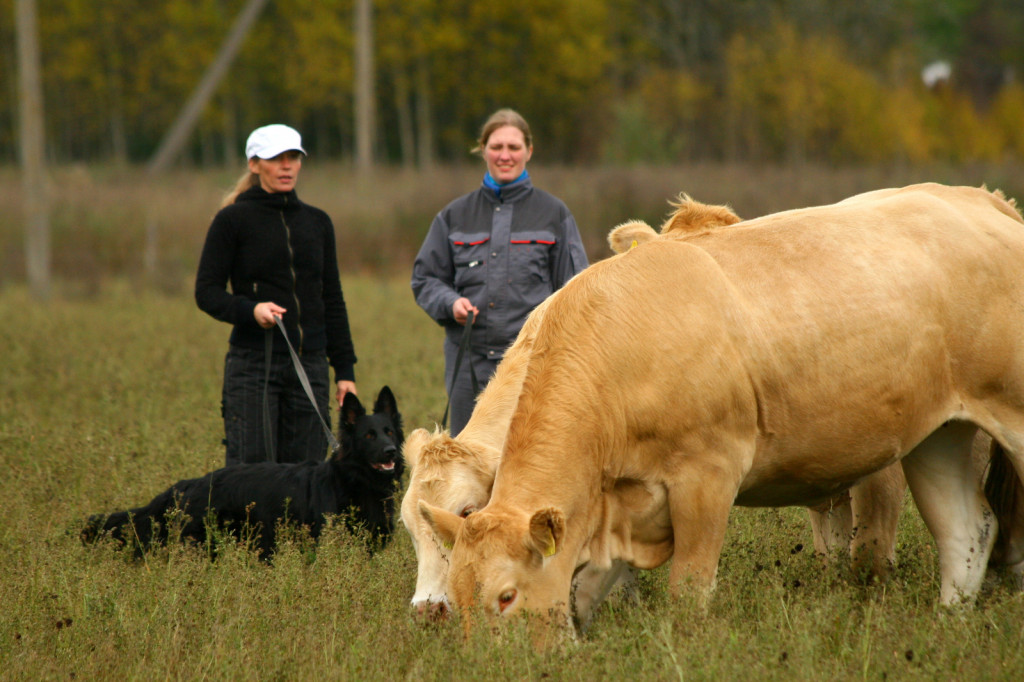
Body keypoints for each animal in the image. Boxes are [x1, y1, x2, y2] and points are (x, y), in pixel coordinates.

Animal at [421, 183, 1024, 630]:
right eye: (463, 598)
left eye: (505, 596)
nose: (432, 614)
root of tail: (984, 201)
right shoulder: (617, 515)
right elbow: (586, 596)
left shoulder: (706, 480)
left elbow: (688, 592)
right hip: (937, 435)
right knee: (967, 530)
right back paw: (948, 626)